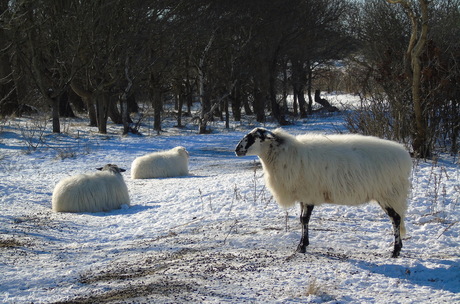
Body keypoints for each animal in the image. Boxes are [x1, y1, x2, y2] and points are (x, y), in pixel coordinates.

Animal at [235, 127, 412, 258]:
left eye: (254, 137)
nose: (237, 150)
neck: (284, 154)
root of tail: (404, 156)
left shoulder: (309, 194)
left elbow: (305, 219)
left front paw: (302, 247)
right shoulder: (303, 195)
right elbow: (302, 220)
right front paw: (302, 244)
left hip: (387, 192)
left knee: (396, 219)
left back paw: (395, 251)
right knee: (397, 218)